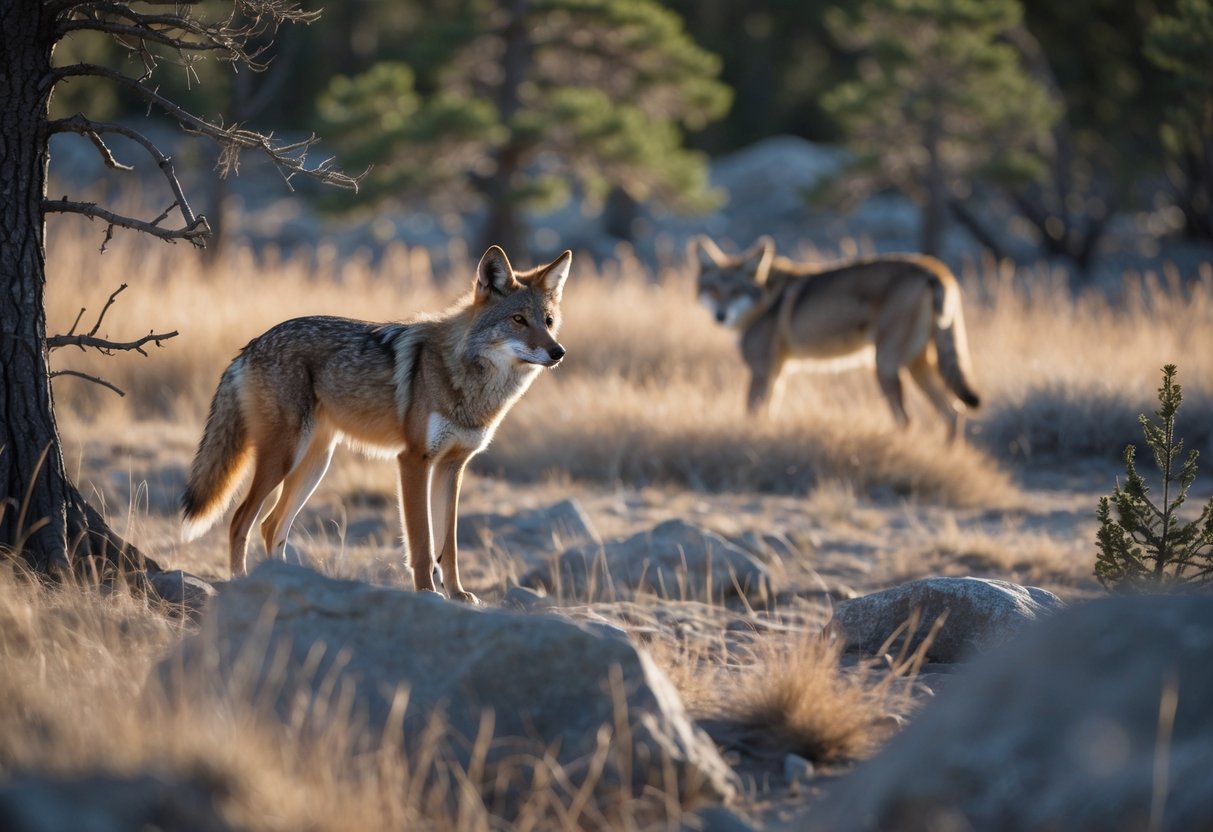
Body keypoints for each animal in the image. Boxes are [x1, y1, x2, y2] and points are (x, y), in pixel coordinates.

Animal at [181, 245, 571, 602]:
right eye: (518, 320)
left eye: (548, 321)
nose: (558, 352)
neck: (467, 380)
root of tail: (249, 346)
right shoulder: (413, 460)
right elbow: (422, 543)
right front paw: (427, 592)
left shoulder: (452, 467)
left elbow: (449, 547)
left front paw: (458, 594)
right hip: (284, 458)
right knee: (239, 521)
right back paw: (241, 582)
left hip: (314, 464)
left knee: (270, 526)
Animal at [691, 235, 979, 439]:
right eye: (713, 289)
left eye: (735, 291)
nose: (720, 316)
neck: (764, 298)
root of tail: (932, 266)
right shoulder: (778, 373)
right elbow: (768, 415)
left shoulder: (761, 372)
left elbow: (751, 414)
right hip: (916, 367)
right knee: (955, 413)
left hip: (884, 366)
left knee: (907, 420)